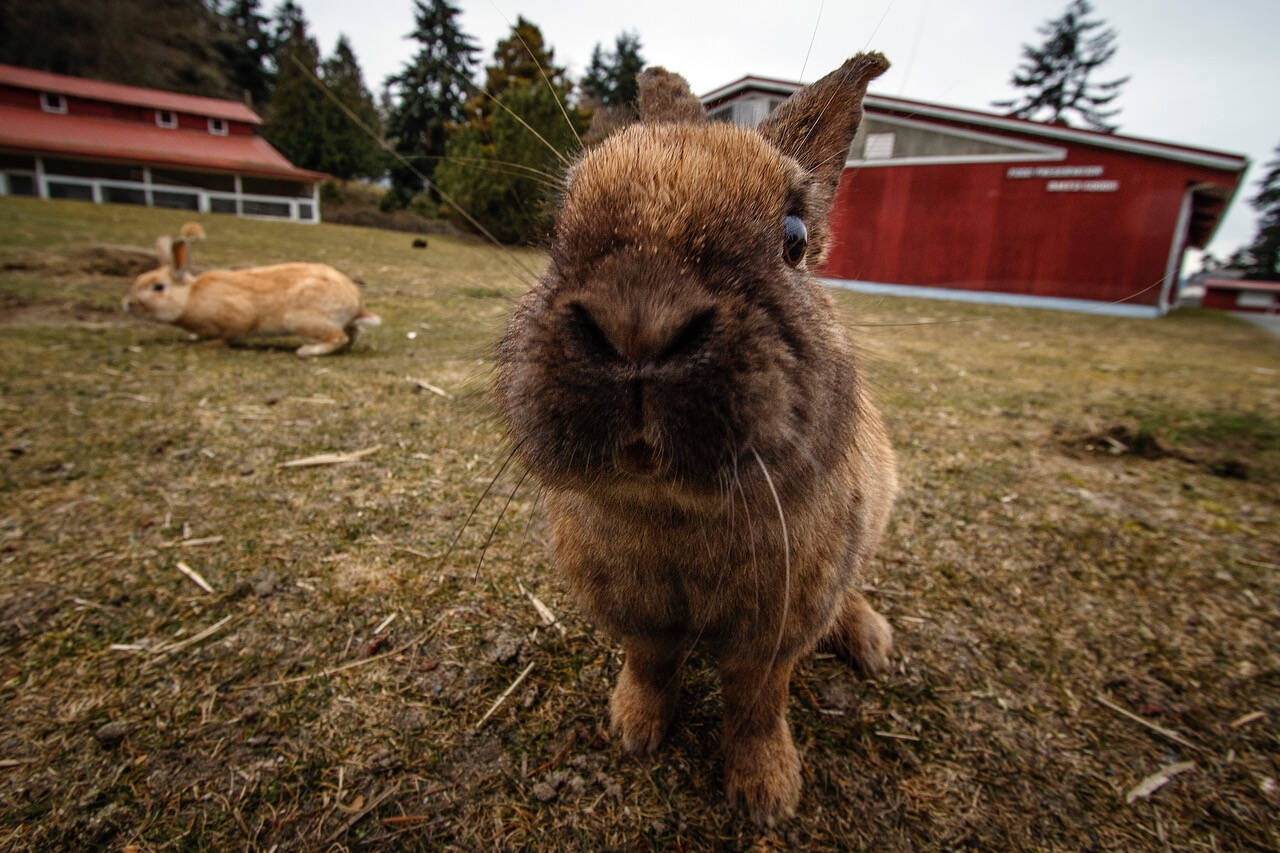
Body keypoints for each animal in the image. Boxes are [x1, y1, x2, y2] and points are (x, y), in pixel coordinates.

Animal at [123, 233, 380, 357]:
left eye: (158, 287)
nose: (129, 304)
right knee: (352, 334)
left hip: (303, 320)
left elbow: (228, 335)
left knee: (338, 337)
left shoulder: (236, 317)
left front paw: (211, 343)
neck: (189, 297)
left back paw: (306, 351)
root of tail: (356, 302)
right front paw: (193, 338)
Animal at [494, 54, 897, 825]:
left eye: (794, 238)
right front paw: (634, 730)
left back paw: (871, 643)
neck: (674, 512)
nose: (639, 319)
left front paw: (767, 793)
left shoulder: (778, 630)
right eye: (557, 225)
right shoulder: (641, 618)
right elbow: (651, 665)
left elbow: (757, 704)